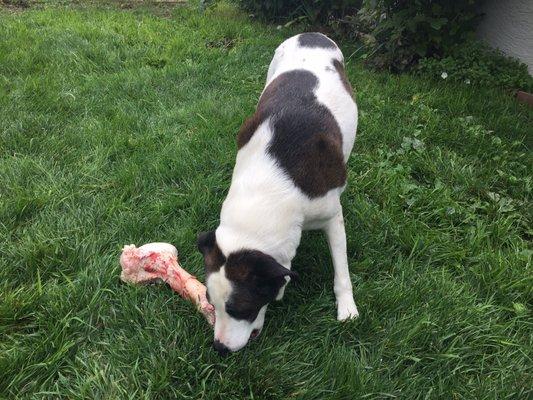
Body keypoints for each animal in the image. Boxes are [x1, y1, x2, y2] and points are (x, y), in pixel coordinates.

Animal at [196, 32, 358, 354]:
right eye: (210, 302)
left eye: (241, 309)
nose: (219, 348)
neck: (272, 186)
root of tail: (312, 33)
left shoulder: (331, 215)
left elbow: (341, 268)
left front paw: (347, 308)